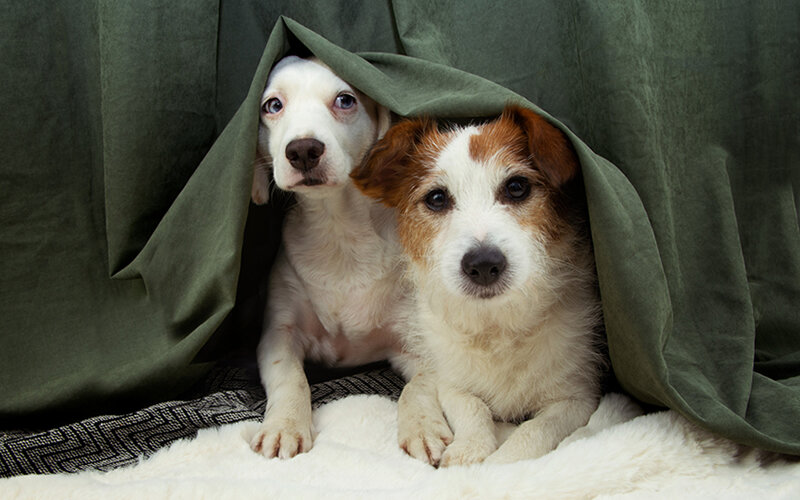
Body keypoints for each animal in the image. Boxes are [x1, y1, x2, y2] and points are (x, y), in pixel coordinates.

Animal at [354, 106, 604, 468]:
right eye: (437, 198)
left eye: (516, 187)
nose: (483, 264)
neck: (496, 325)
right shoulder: (451, 382)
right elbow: (473, 407)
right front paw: (469, 450)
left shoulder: (576, 398)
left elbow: (535, 430)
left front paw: (500, 465)